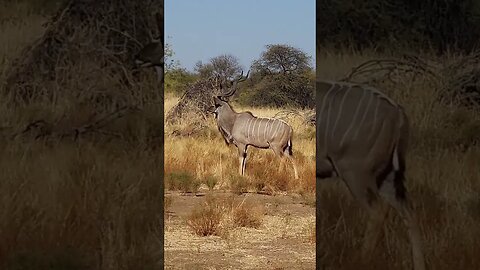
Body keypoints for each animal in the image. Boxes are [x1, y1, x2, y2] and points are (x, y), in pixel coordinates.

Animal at [318, 80, 424, 270]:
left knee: (378, 210)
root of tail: (398, 113)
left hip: (356, 174)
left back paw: (361, 260)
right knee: (409, 212)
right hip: (387, 177)